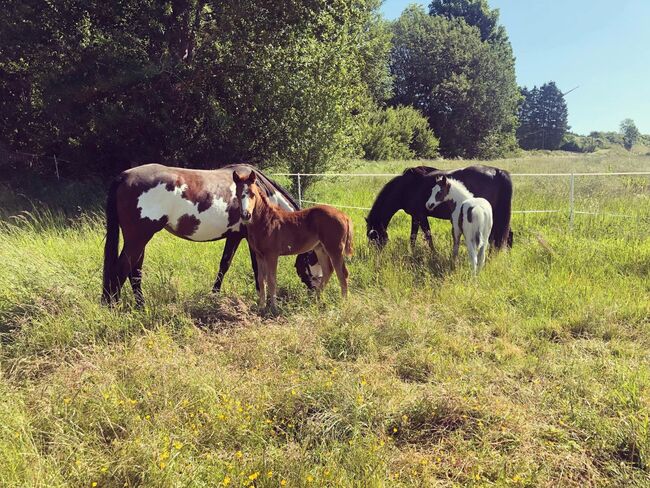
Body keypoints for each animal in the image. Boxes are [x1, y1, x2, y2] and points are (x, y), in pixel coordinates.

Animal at [100, 164, 318, 304]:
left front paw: (214, 296)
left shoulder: (234, 236)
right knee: (122, 269)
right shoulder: (252, 239)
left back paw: (140, 306)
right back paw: (115, 307)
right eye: (312, 259)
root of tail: (124, 176)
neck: (259, 196)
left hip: (139, 239)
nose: (316, 294)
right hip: (138, 238)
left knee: (134, 271)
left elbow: (224, 264)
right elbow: (258, 269)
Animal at [233, 170, 352, 310]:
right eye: (237, 194)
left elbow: (272, 279)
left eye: (252, 194)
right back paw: (316, 300)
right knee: (328, 270)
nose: (246, 215)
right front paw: (261, 306)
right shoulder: (259, 255)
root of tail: (344, 215)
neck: (265, 221)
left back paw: (343, 303)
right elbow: (261, 279)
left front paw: (274, 308)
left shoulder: (272, 255)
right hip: (320, 249)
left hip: (335, 249)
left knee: (342, 274)